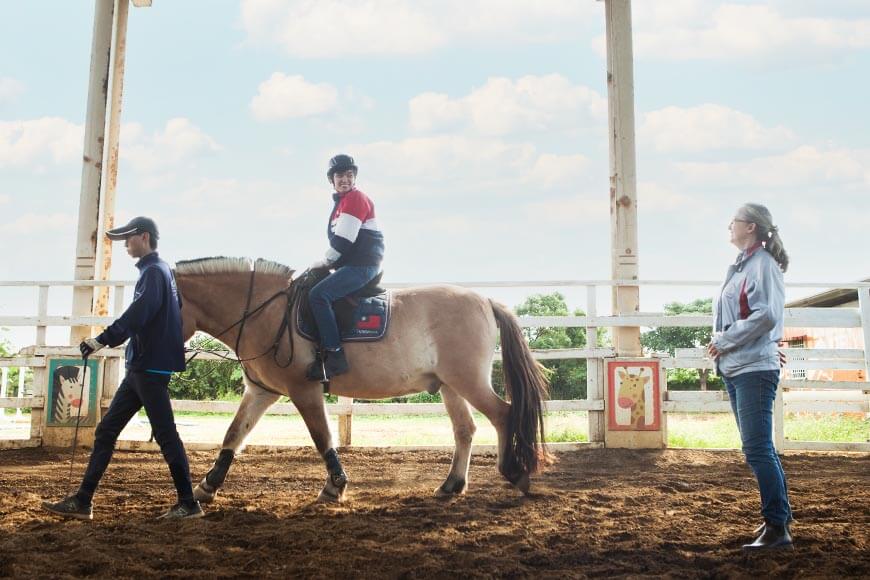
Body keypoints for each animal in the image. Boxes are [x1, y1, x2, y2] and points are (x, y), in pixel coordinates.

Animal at [177, 256, 552, 500]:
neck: (267, 312)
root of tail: (486, 300)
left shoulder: (304, 389)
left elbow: (321, 437)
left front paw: (335, 486)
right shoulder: (261, 392)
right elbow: (233, 434)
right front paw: (207, 485)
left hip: (468, 381)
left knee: (502, 414)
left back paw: (515, 473)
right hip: (451, 386)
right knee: (465, 430)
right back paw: (451, 485)